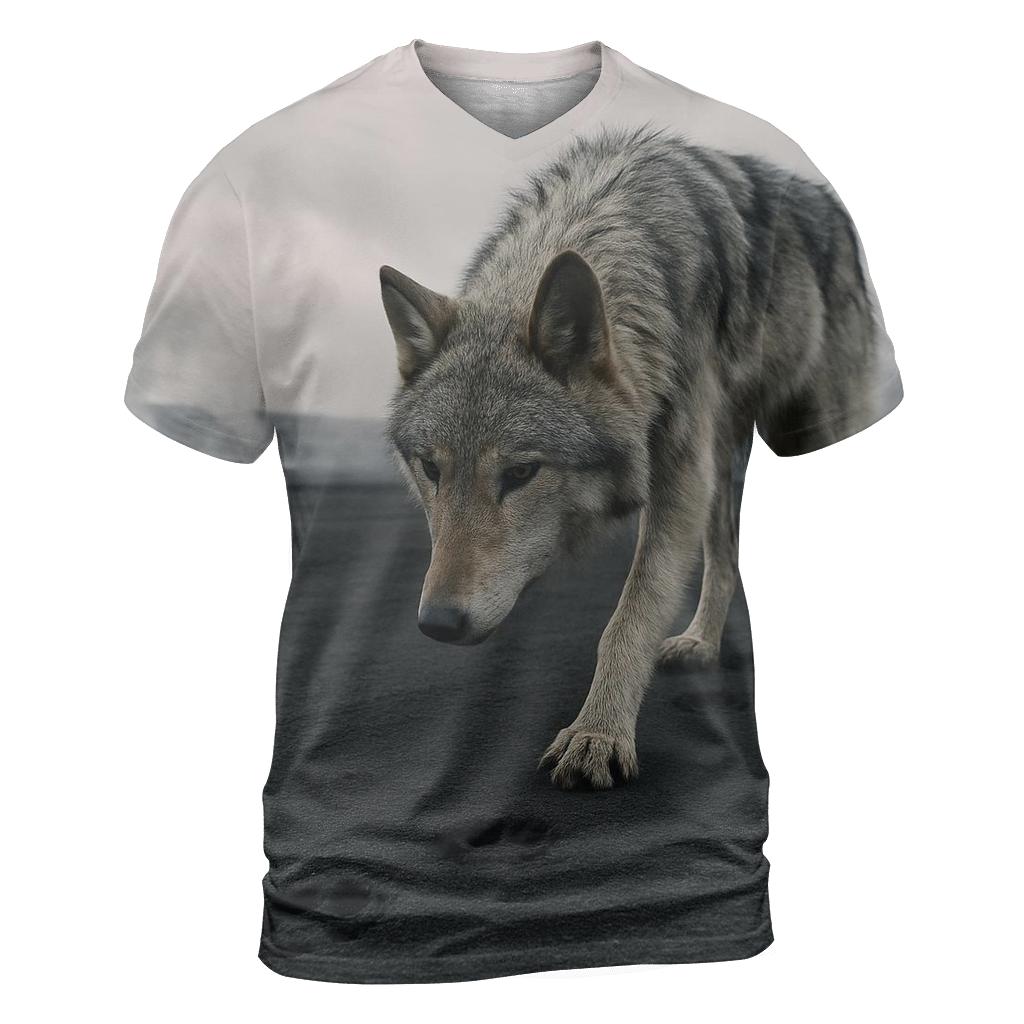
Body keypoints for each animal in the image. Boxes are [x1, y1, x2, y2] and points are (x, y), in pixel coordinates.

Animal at [379, 126, 882, 789]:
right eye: (431, 470)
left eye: (520, 473)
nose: (438, 621)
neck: (610, 230)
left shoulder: (679, 478)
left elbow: (630, 615)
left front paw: (597, 734)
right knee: (725, 556)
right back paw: (699, 643)